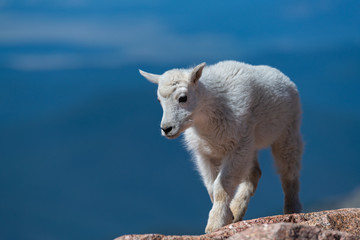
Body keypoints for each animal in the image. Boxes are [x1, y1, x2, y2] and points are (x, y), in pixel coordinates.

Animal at [139, 61, 302, 233]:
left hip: (287, 130)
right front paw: (228, 216)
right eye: (159, 100)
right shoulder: (206, 154)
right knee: (254, 173)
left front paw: (215, 223)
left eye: (182, 98)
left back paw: (292, 209)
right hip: (251, 145)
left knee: (289, 170)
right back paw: (237, 210)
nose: (167, 128)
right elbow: (211, 187)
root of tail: (285, 78)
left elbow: (221, 186)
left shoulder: (236, 147)